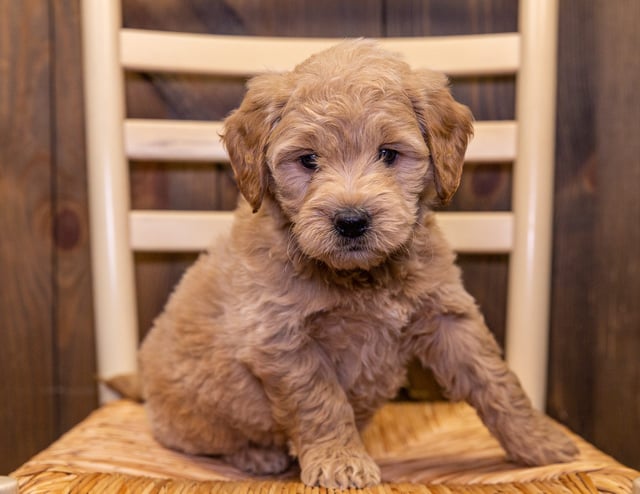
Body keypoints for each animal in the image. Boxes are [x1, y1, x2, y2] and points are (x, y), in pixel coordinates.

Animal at [141, 38, 580, 486]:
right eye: (308, 160)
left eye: (388, 154)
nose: (351, 221)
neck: (362, 277)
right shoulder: (281, 338)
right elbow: (321, 402)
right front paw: (341, 461)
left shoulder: (447, 314)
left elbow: (495, 378)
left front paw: (540, 442)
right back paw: (257, 455)